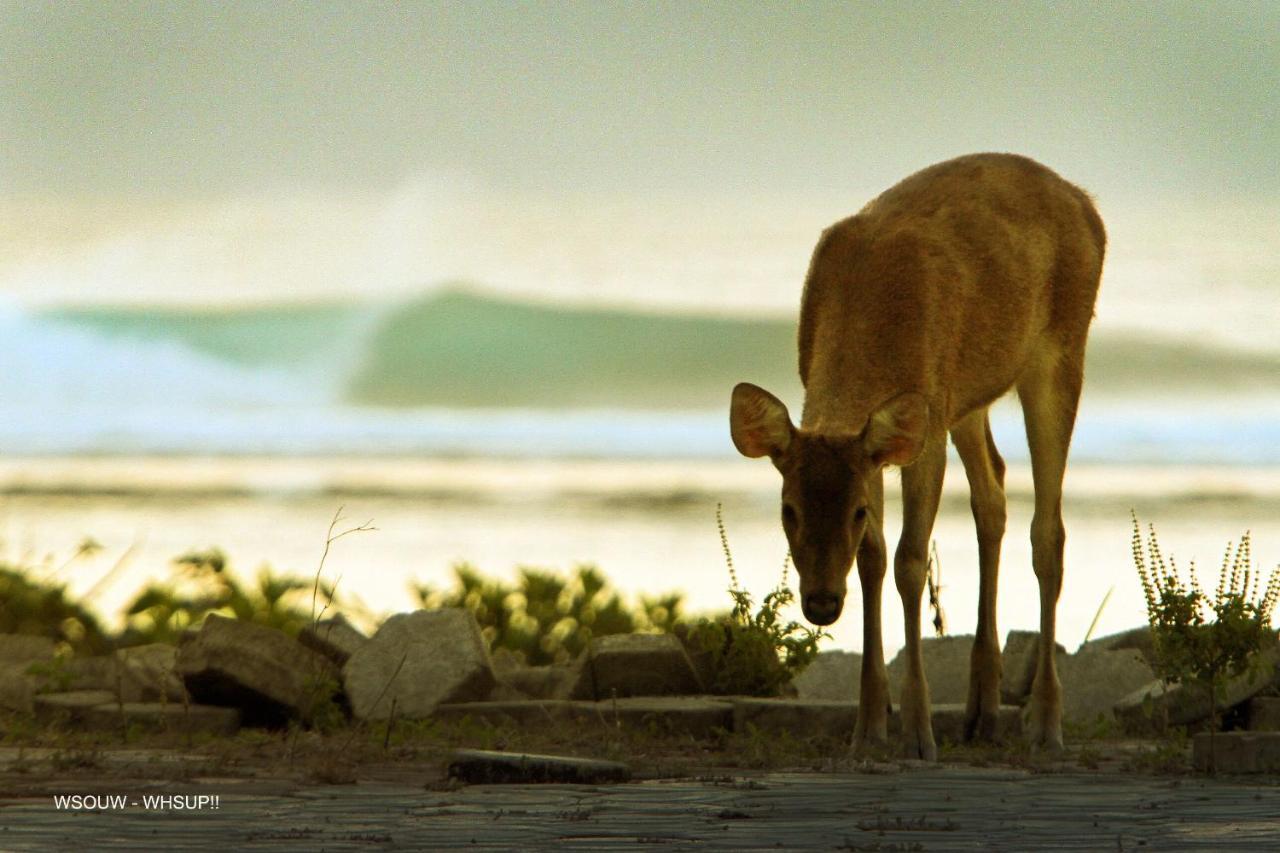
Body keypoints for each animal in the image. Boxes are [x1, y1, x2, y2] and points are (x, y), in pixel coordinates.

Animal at [737, 154, 1105, 758]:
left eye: (855, 512)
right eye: (788, 510)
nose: (820, 603)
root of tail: (1087, 203)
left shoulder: (922, 426)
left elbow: (910, 561)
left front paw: (916, 731)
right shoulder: (886, 441)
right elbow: (873, 560)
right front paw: (868, 727)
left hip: (1061, 348)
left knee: (1048, 531)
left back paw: (1045, 723)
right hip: (967, 395)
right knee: (993, 492)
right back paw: (982, 709)